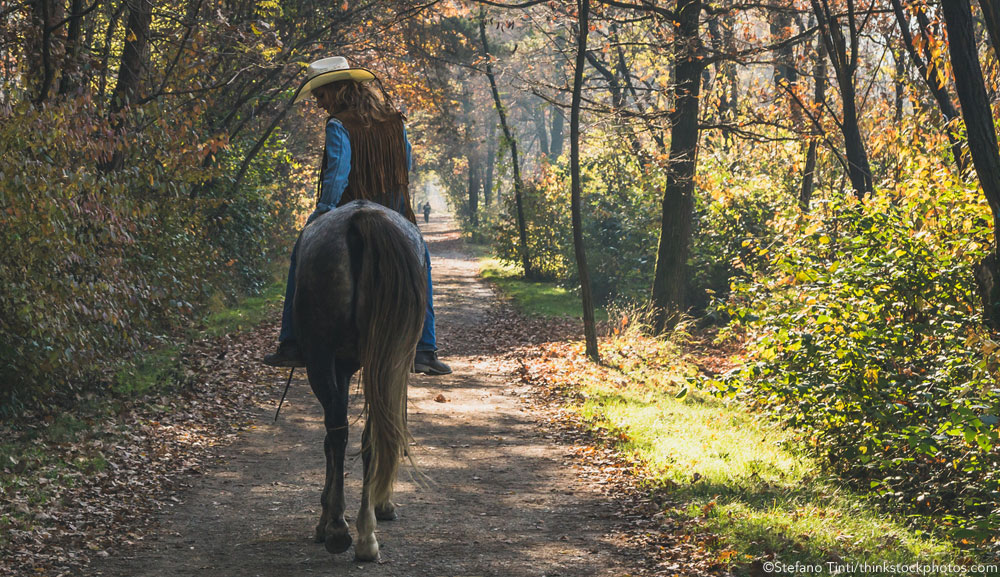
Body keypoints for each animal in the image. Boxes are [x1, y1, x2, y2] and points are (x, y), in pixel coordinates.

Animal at [292, 200, 426, 560]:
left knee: (341, 432)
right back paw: (366, 536)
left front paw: (325, 519)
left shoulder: (336, 365)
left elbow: (330, 439)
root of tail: (360, 218)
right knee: (372, 435)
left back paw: (340, 529)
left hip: (322, 356)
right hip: (387, 359)